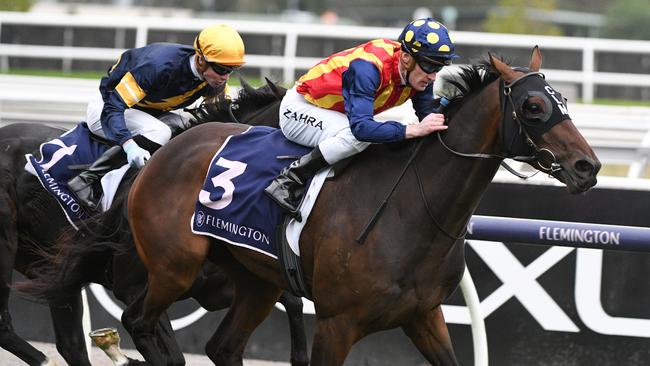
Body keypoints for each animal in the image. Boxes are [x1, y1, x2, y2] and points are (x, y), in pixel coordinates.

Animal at [121, 47, 596, 364]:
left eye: (563, 100)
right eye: (533, 106)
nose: (588, 166)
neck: (412, 209)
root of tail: (163, 152)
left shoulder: (425, 316)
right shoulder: (336, 323)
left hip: (255, 280)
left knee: (222, 345)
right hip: (176, 267)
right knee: (138, 321)